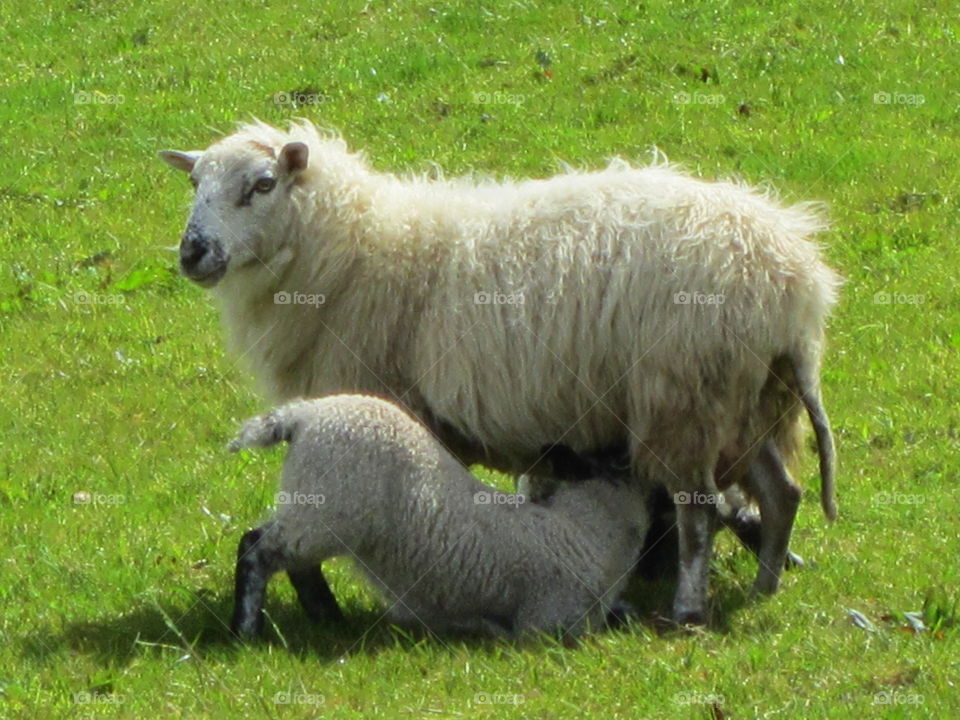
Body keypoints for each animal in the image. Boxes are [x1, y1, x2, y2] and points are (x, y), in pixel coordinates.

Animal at [228, 394, 650, 639]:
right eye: (618, 458)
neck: (584, 529)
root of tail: (305, 414)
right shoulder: (547, 620)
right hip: (330, 506)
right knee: (257, 549)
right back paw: (246, 633)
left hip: (320, 513)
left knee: (299, 565)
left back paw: (330, 621)